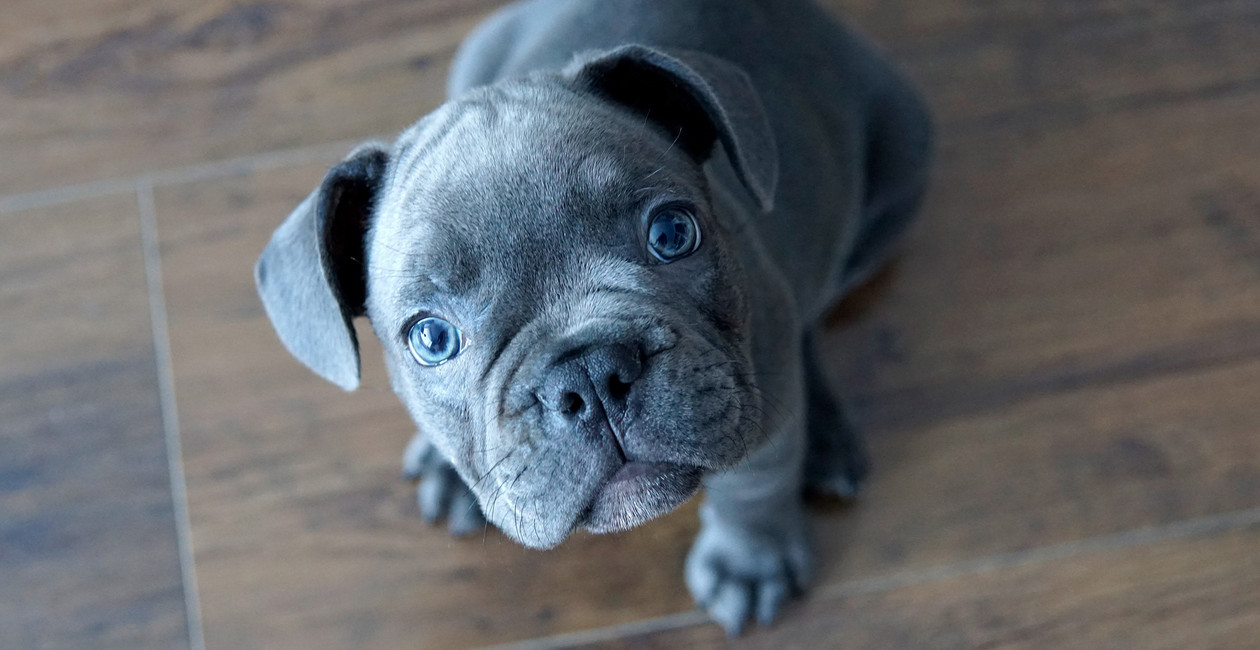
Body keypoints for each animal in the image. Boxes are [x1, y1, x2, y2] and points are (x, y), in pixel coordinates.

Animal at [255, 0, 932, 634]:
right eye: (432, 338)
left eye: (672, 232)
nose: (588, 375)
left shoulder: (763, 407)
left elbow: (754, 484)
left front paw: (747, 563)